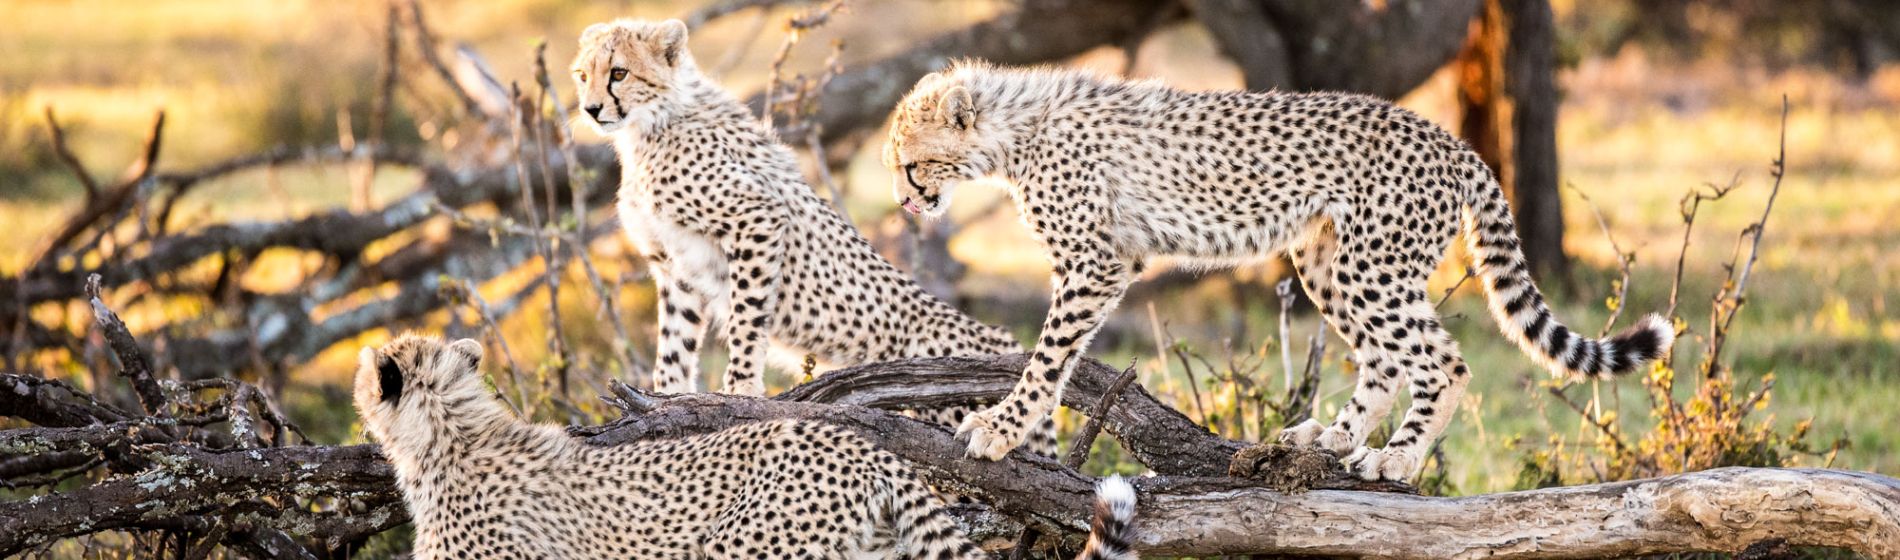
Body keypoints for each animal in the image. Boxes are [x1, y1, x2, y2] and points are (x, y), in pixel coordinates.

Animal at [881, 62, 1672, 482]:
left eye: (911, 164)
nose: (905, 202)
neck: (1016, 129)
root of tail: (1451, 140)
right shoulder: (1110, 258)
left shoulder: (1097, 261)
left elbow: (1049, 357)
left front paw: (1001, 427)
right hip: (1326, 261)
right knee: (1386, 358)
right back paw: (1334, 437)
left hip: (1372, 263)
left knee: (1443, 360)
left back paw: (1398, 459)